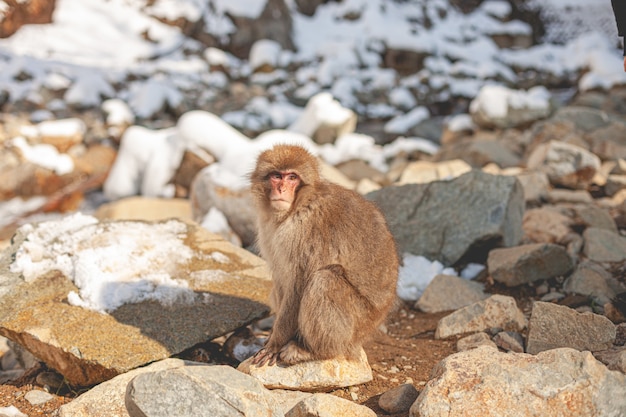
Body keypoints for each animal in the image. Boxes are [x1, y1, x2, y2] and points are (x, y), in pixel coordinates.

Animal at [247, 145, 398, 366]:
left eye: (292, 177)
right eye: (276, 176)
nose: (281, 189)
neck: (297, 208)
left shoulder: (303, 234)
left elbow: (298, 285)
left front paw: (276, 343)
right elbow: (282, 279)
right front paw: (274, 337)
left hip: (357, 323)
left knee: (325, 280)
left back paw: (314, 351)